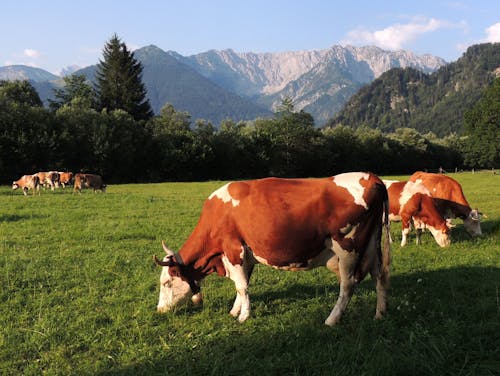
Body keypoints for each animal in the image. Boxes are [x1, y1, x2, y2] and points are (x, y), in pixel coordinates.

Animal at [152, 172, 390, 324]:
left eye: (166, 282)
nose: (160, 310)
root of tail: (372, 177)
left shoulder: (234, 250)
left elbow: (241, 286)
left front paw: (243, 316)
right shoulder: (245, 255)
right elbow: (242, 285)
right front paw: (235, 310)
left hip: (348, 247)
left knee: (348, 285)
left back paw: (332, 319)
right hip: (372, 244)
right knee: (379, 276)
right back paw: (380, 313)